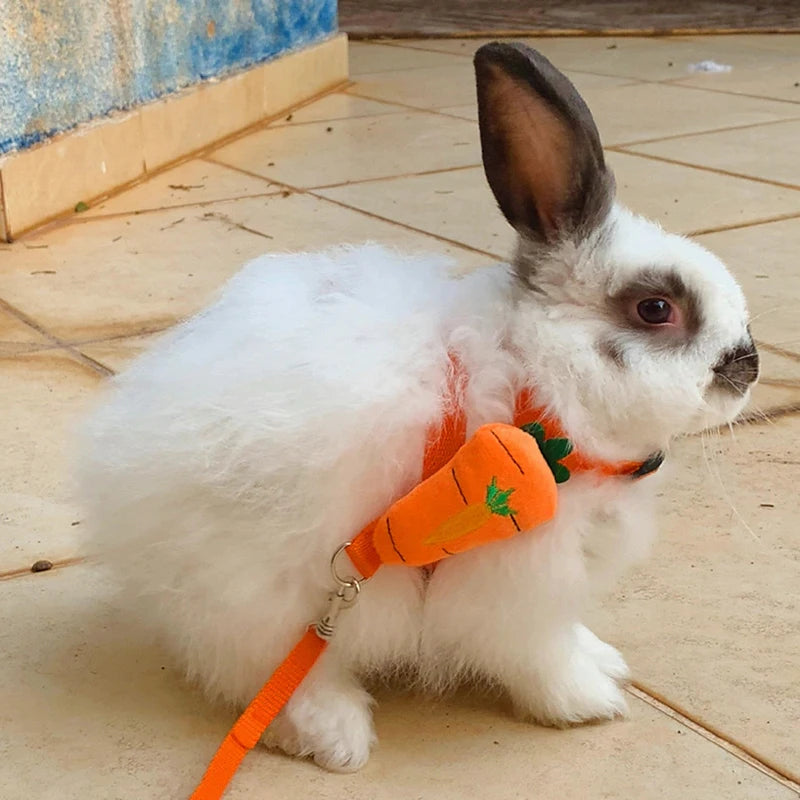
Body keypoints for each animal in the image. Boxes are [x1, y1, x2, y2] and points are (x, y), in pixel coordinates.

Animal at [78, 42, 759, 772]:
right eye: (656, 309)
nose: (749, 364)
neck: (536, 388)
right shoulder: (513, 585)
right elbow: (538, 655)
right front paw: (588, 702)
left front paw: (604, 660)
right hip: (269, 597)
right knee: (274, 678)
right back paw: (337, 737)